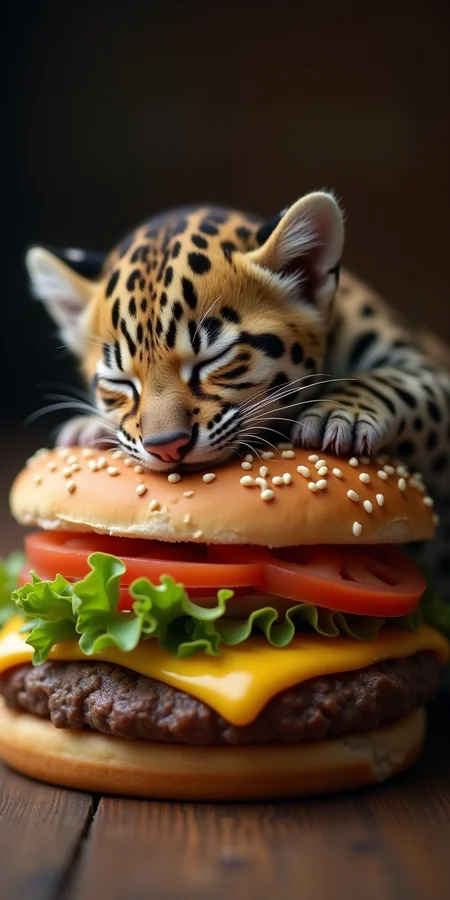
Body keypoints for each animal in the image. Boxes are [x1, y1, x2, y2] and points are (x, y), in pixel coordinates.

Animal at [25, 191, 450, 595]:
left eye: (213, 358)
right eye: (119, 381)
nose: (166, 447)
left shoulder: (430, 374)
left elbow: (399, 384)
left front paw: (340, 413)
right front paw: (88, 427)